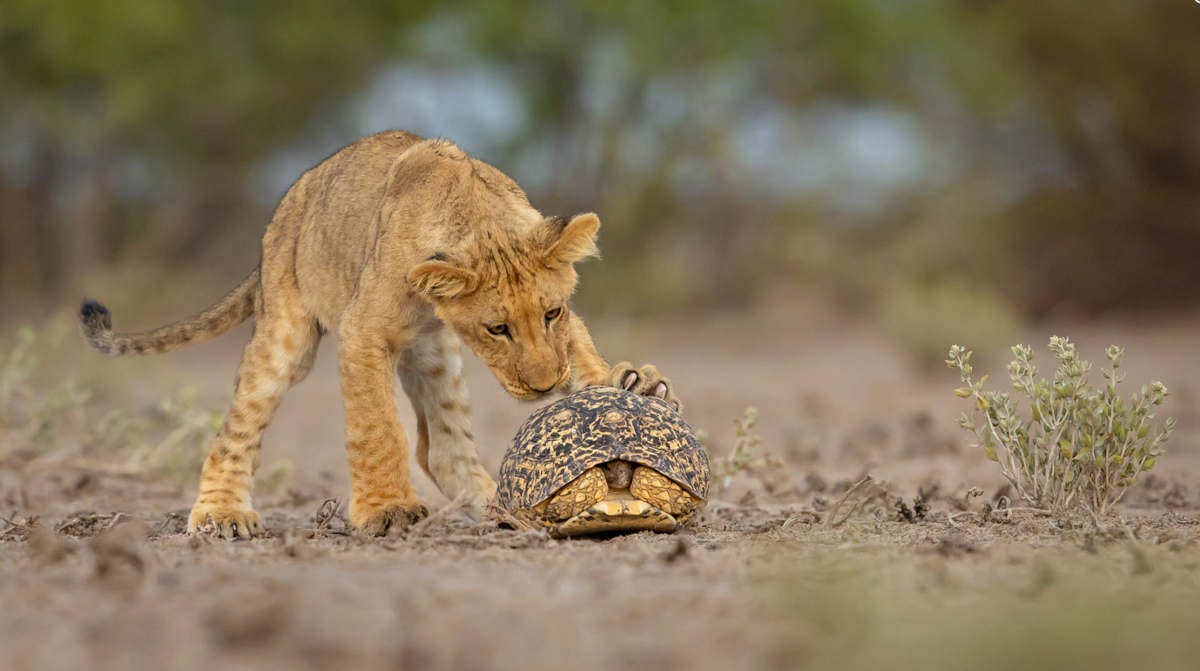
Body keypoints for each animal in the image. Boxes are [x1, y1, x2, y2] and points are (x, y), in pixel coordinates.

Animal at [79, 130, 679, 538]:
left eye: (552, 313)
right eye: (497, 328)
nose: (544, 386)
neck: (475, 217)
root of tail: (284, 212)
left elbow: (582, 354)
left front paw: (632, 384)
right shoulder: (362, 331)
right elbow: (378, 428)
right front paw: (387, 509)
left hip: (435, 353)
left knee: (442, 449)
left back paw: (503, 510)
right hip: (287, 334)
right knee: (237, 428)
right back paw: (221, 514)